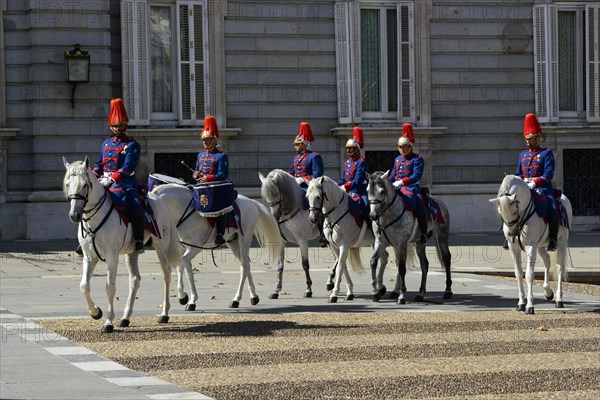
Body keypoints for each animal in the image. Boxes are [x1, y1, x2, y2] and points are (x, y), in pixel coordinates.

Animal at [63, 158, 182, 332]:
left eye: (85, 185)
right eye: (67, 184)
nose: (74, 215)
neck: (93, 219)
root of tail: (156, 197)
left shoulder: (111, 256)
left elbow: (110, 287)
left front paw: (108, 322)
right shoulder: (89, 257)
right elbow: (84, 286)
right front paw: (95, 312)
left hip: (161, 245)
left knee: (166, 273)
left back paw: (164, 314)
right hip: (132, 251)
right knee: (134, 280)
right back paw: (126, 317)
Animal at [155, 183, 286, 308]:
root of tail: (253, 203)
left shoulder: (195, 247)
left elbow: (181, 263)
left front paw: (182, 296)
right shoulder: (185, 248)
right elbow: (188, 272)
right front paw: (192, 300)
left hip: (244, 240)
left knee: (244, 265)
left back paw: (236, 299)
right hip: (233, 242)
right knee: (246, 264)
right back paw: (254, 297)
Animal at [256, 168, 324, 296]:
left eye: (276, 193)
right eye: (265, 196)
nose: (275, 216)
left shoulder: (302, 241)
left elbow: (305, 264)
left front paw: (308, 289)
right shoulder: (281, 242)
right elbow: (280, 265)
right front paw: (276, 290)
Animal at [366, 170, 454, 304]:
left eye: (381, 191)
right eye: (367, 190)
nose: (372, 215)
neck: (387, 215)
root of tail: (439, 201)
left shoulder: (402, 243)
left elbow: (402, 268)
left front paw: (401, 296)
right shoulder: (380, 242)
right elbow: (373, 261)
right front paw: (375, 292)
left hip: (442, 237)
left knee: (446, 259)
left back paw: (448, 290)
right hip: (420, 243)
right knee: (424, 264)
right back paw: (420, 293)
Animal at [490, 175, 568, 312]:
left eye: (514, 210)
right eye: (500, 212)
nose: (512, 233)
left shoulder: (531, 245)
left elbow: (529, 275)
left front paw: (530, 306)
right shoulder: (513, 247)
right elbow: (518, 273)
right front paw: (521, 303)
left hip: (562, 241)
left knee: (559, 268)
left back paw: (559, 299)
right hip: (541, 245)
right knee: (547, 261)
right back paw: (548, 292)